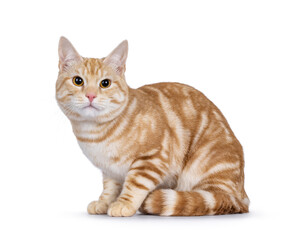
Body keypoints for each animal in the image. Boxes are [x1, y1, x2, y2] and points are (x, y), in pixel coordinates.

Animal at [55, 36, 248, 217]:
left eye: (105, 83)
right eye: (78, 81)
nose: (91, 95)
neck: (94, 133)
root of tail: (242, 195)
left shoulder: (152, 158)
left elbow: (134, 184)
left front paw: (124, 204)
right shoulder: (110, 170)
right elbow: (110, 188)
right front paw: (104, 202)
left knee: (216, 198)